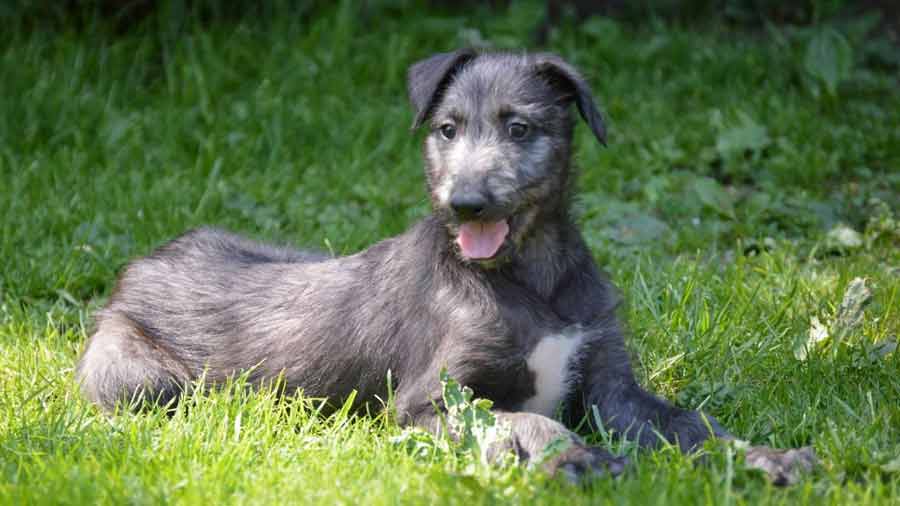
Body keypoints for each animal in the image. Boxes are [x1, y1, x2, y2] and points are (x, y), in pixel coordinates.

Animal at [74, 49, 812, 484]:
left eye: (520, 128)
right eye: (447, 129)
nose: (466, 202)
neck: (528, 277)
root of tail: (138, 267)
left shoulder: (614, 390)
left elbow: (694, 425)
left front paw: (767, 456)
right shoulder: (429, 401)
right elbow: (525, 419)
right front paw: (577, 456)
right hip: (139, 382)